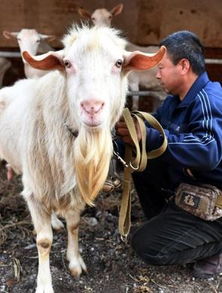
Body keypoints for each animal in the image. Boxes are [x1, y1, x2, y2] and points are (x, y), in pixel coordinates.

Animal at [0, 25, 165, 292]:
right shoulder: (35, 190)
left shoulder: (72, 188)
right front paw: (44, 284)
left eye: (119, 63)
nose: (92, 107)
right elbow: (43, 241)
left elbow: (74, 224)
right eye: (67, 63)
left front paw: (75, 262)